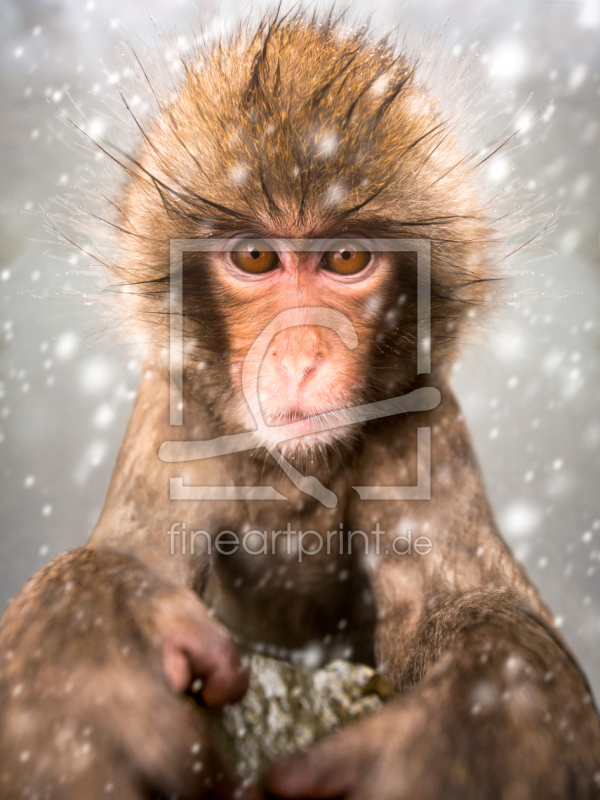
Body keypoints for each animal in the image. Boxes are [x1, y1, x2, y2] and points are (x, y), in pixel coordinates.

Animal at [1, 10, 600, 800]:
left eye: (346, 259)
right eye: (256, 257)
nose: (298, 355)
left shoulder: (421, 426)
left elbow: (473, 601)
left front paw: (466, 731)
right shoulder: (176, 410)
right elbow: (131, 554)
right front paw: (94, 652)